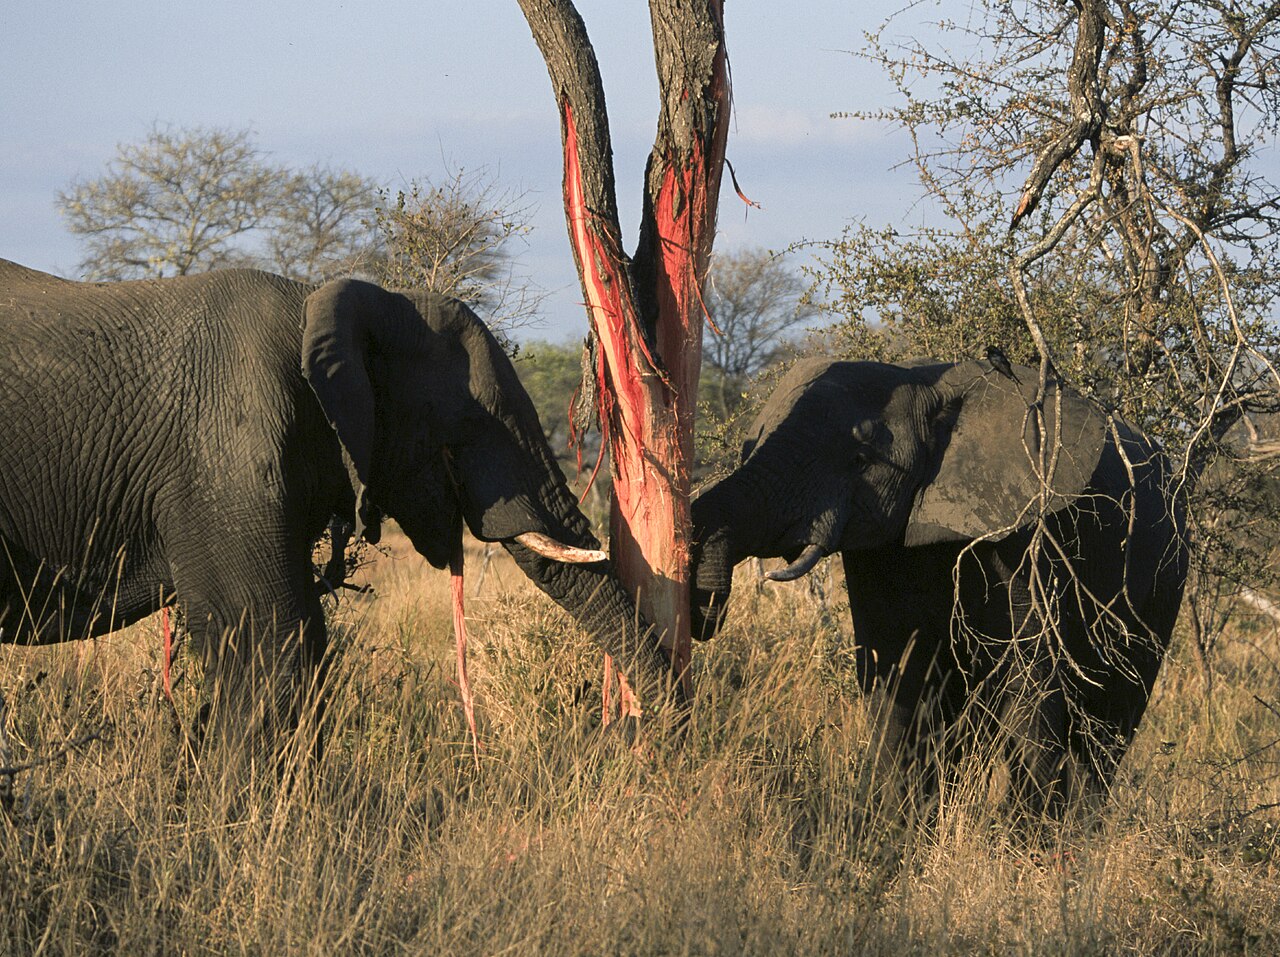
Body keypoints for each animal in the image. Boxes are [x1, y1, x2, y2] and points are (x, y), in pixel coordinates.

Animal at [690, 356, 1188, 815]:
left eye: (859, 459)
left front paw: (1024, 842)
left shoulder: (1029, 533)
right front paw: (898, 829)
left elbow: (1030, 677)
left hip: (1164, 579)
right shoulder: (885, 547)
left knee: (1109, 724)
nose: (706, 616)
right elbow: (896, 669)